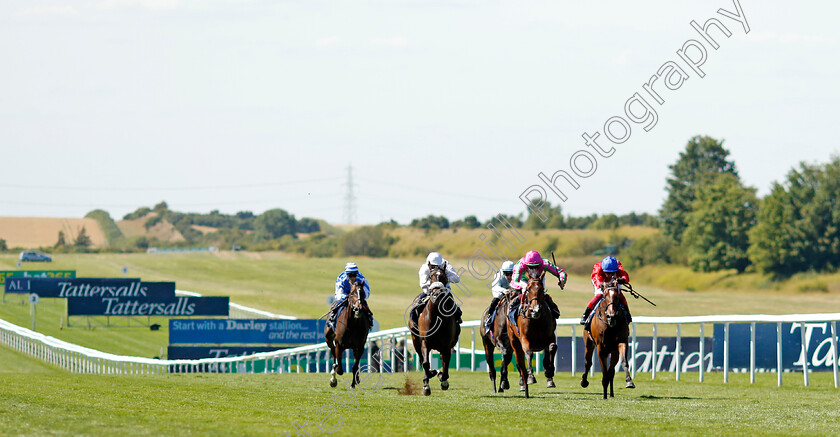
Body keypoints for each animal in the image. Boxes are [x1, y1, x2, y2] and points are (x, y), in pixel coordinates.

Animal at [406, 262, 460, 396]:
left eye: (444, 277)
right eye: (430, 277)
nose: (436, 295)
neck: (436, 316)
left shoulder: (446, 345)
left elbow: (446, 362)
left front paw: (443, 379)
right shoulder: (425, 341)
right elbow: (425, 363)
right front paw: (426, 385)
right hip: (415, 341)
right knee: (422, 359)